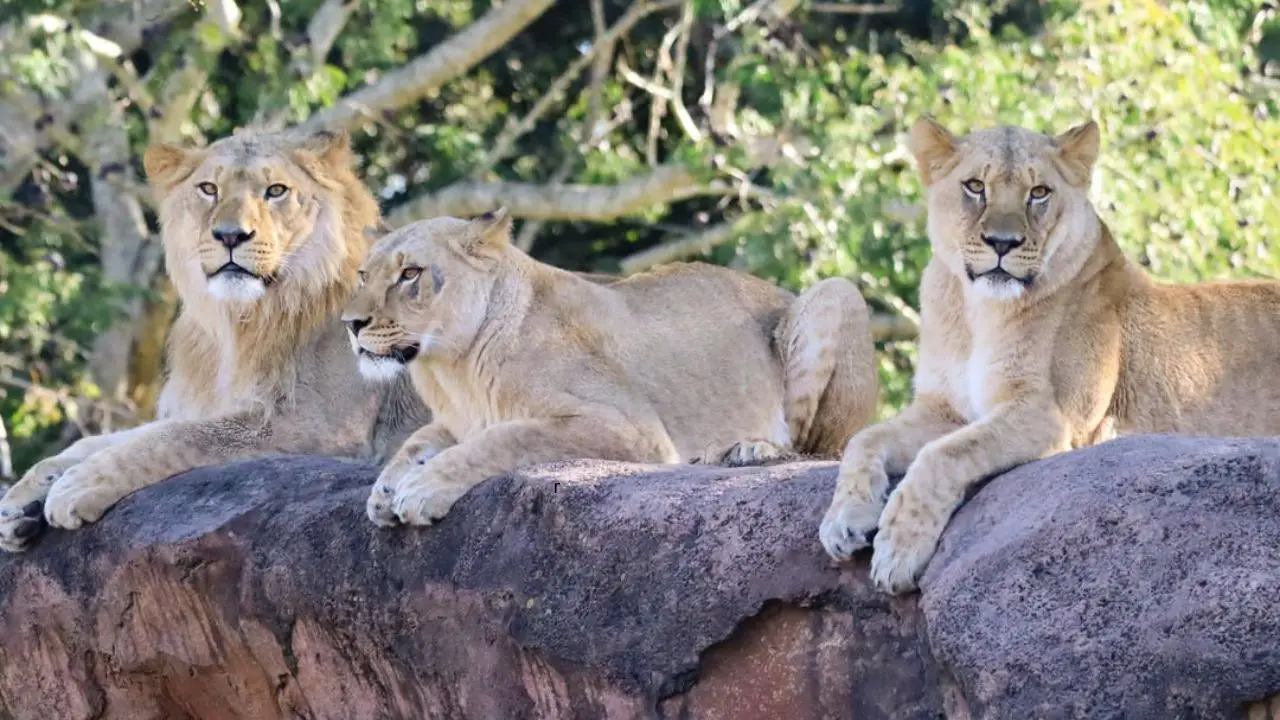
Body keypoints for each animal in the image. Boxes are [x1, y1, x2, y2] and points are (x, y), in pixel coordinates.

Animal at [0, 127, 430, 548]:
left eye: (276, 190)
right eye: (208, 188)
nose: (230, 236)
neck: (239, 323)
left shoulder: (323, 427)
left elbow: (175, 438)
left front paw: (79, 485)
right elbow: (106, 439)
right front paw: (23, 497)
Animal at [340, 207, 880, 527]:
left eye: (410, 274)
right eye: (364, 275)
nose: (350, 322)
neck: (452, 370)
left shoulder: (630, 429)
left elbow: (507, 438)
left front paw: (423, 487)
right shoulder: (456, 419)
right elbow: (417, 440)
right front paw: (385, 489)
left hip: (833, 292)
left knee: (821, 447)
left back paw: (750, 449)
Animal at [824, 116, 1280, 589]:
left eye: (1039, 192)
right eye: (975, 186)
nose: (1002, 242)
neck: (978, 313)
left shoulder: (1051, 416)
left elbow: (944, 454)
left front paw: (898, 548)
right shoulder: (944, 409)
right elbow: (864, 438)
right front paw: (844, 519)